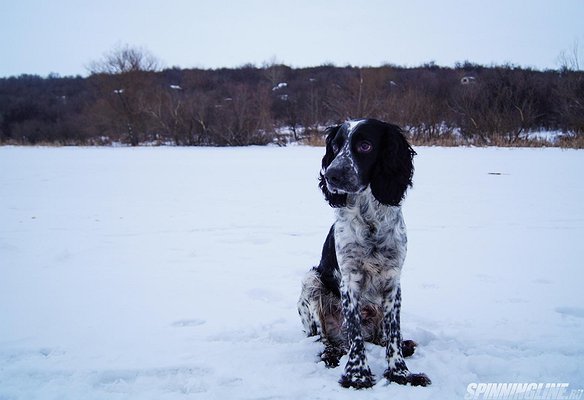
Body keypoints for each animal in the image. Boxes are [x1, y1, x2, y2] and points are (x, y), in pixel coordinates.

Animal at [298, 118, 432, 388]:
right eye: (335, 146)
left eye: (365, 145)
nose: (331, 174)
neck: (370, 218)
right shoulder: (349, 280)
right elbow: (354, 333)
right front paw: (357, 376)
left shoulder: (393, 280)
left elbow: (393, 333)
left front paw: (400, 374)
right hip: (311, 281)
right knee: (328, 339)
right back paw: (331, 353)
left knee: (380, 336)